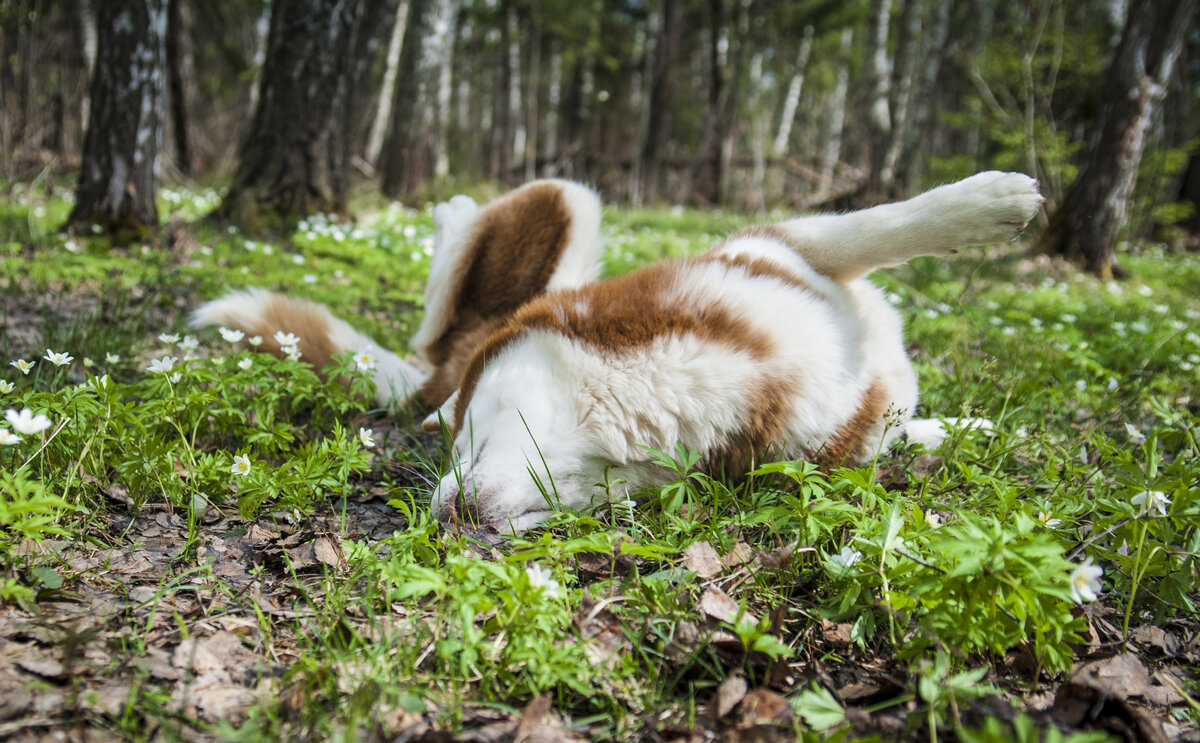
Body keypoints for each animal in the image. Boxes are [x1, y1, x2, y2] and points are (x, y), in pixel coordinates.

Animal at [194, 172, 1041, 535]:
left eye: (471, 436)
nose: (446, 515)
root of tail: (447, 370)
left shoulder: (786, 248)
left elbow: (882, 224)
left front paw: (987, 202)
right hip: (565, 204)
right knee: (438, 317)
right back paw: (449, 210)